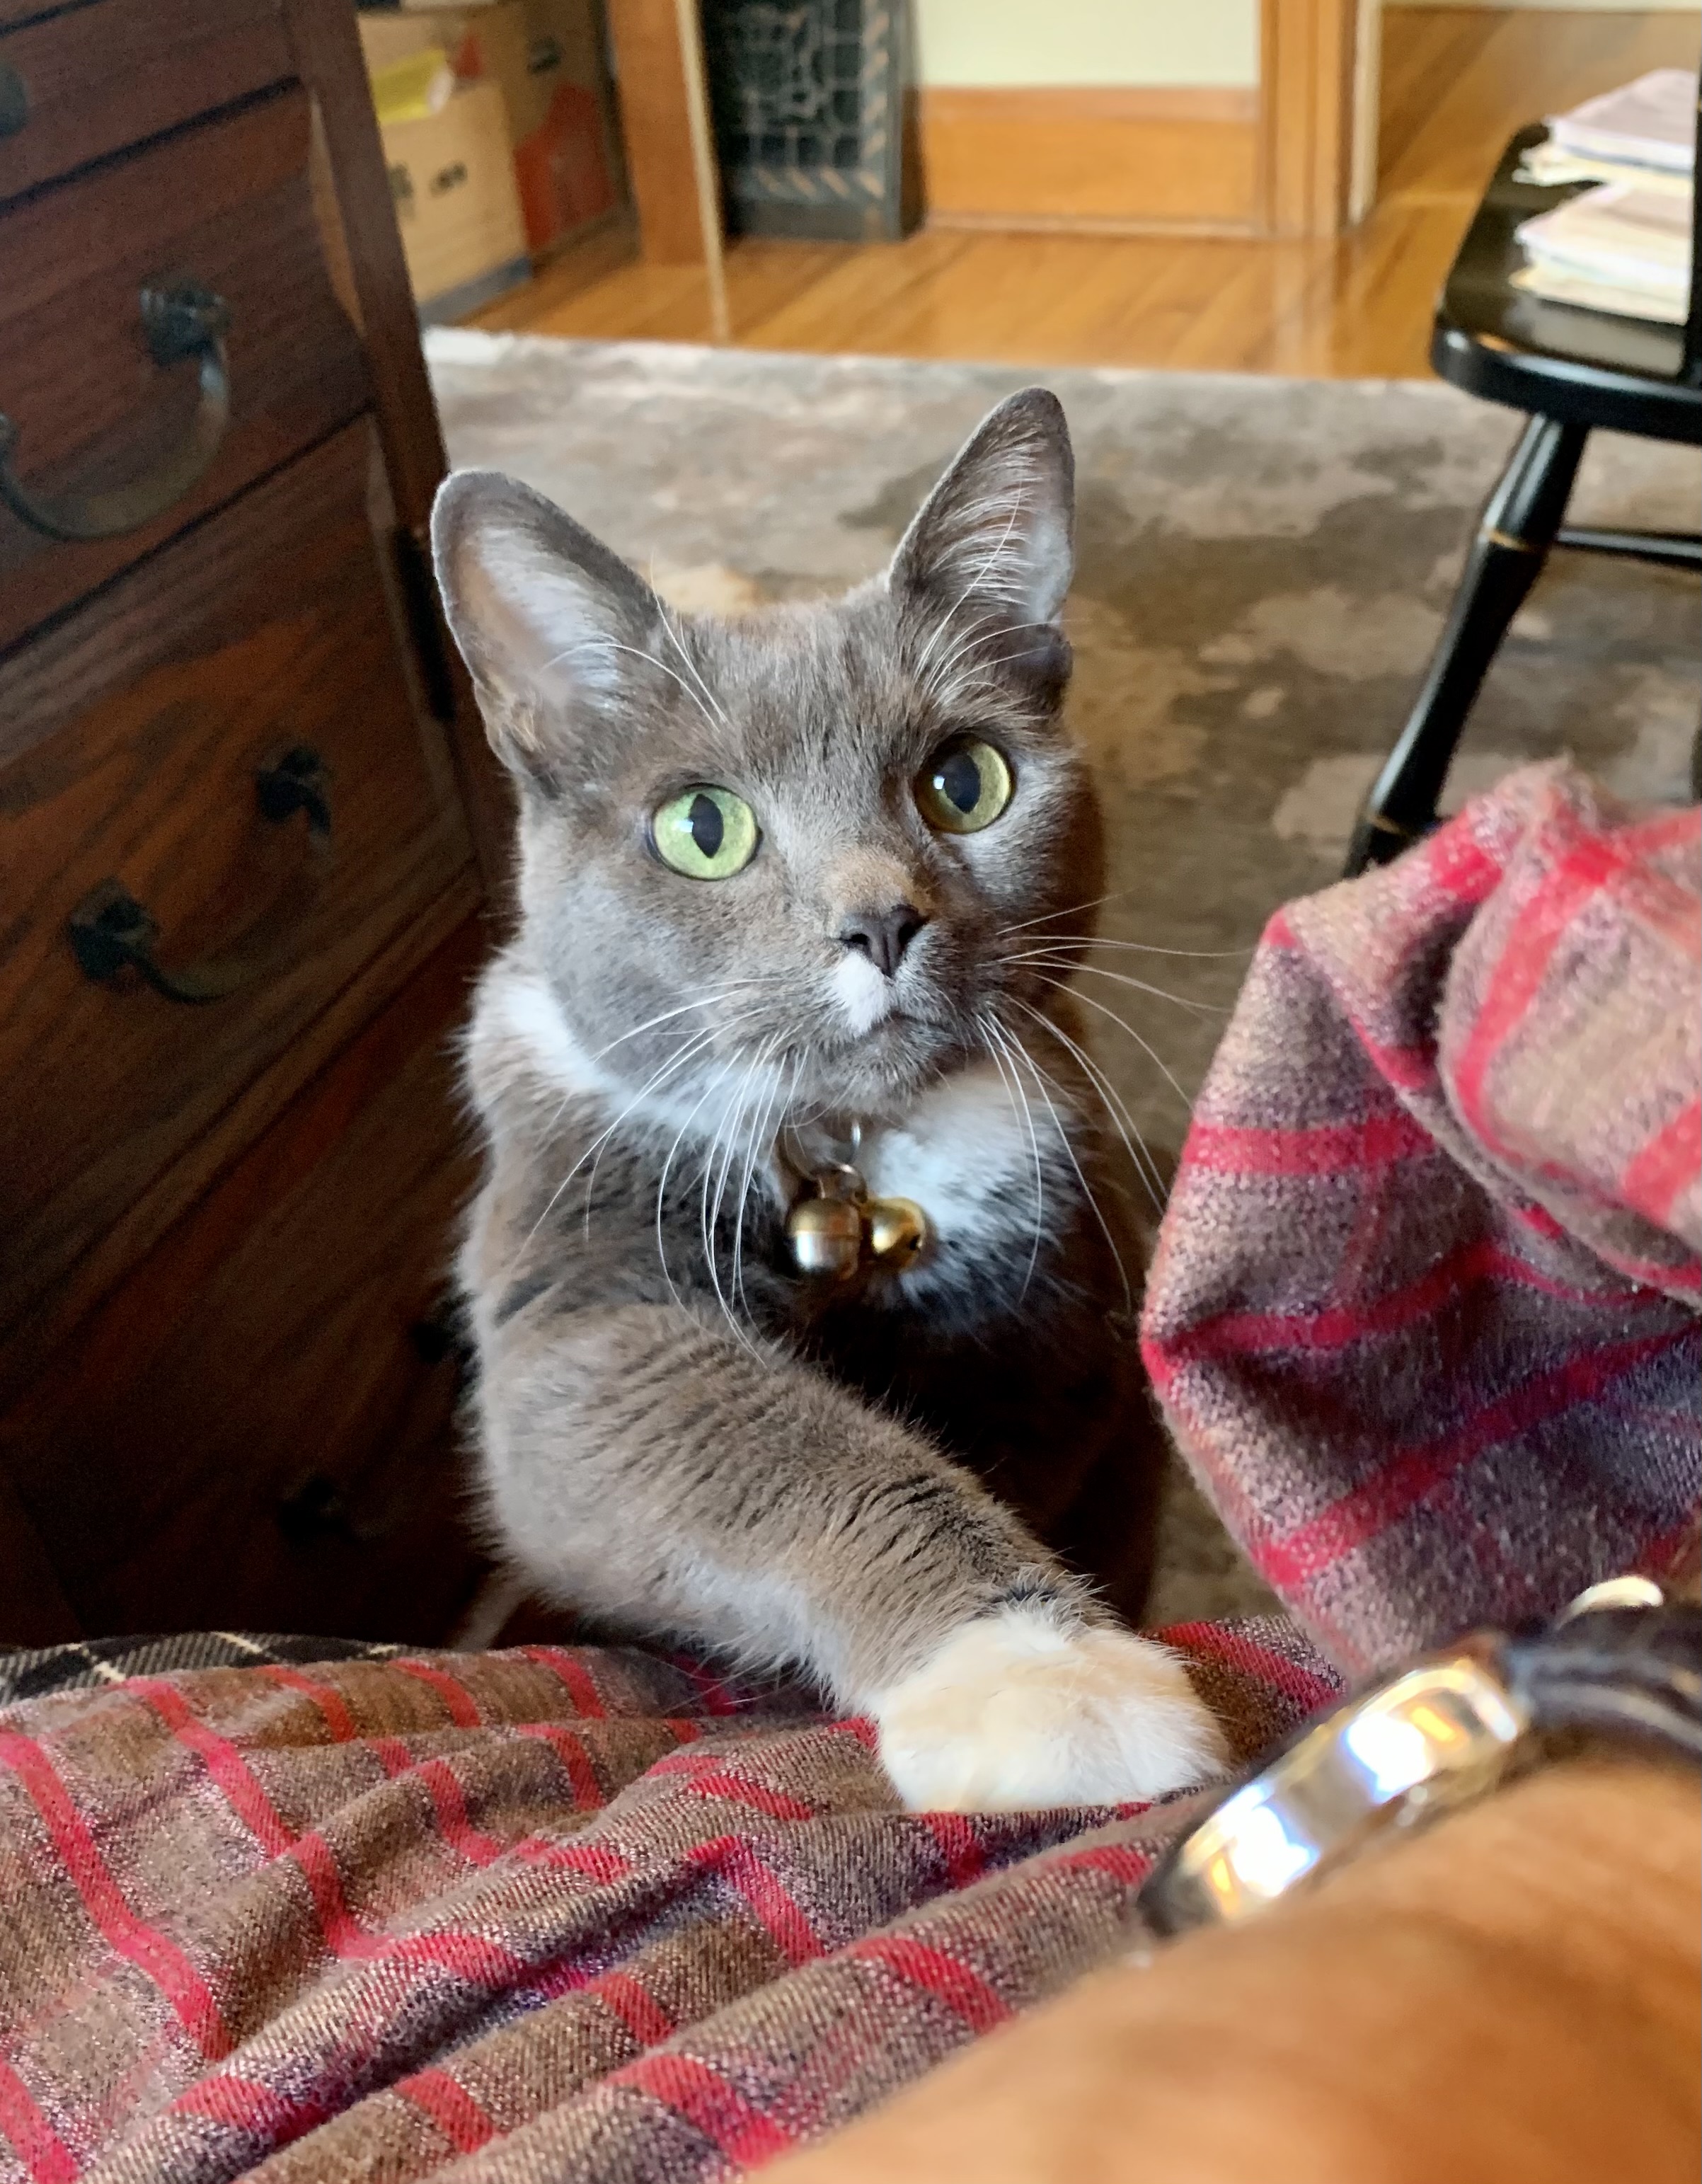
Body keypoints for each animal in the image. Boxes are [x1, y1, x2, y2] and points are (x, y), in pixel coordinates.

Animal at [432, 387, 1226, 1811]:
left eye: (966, 779)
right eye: (702, 828)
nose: (880, 920)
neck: (857, 1160)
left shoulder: (1068, 1293)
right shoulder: (575, 1266)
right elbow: (751, 1437)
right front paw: (1049, 1684)